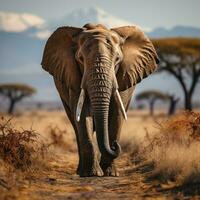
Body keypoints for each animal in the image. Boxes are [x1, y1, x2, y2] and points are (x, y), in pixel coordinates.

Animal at [41, 23, 159, 177]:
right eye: (80, 59)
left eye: (117, 60)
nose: (115, 145)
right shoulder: (74, 80)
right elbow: (83, 116)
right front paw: (92, 174)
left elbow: (116, 115)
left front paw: (110, 174)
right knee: (75, 124)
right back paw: (80, 171)